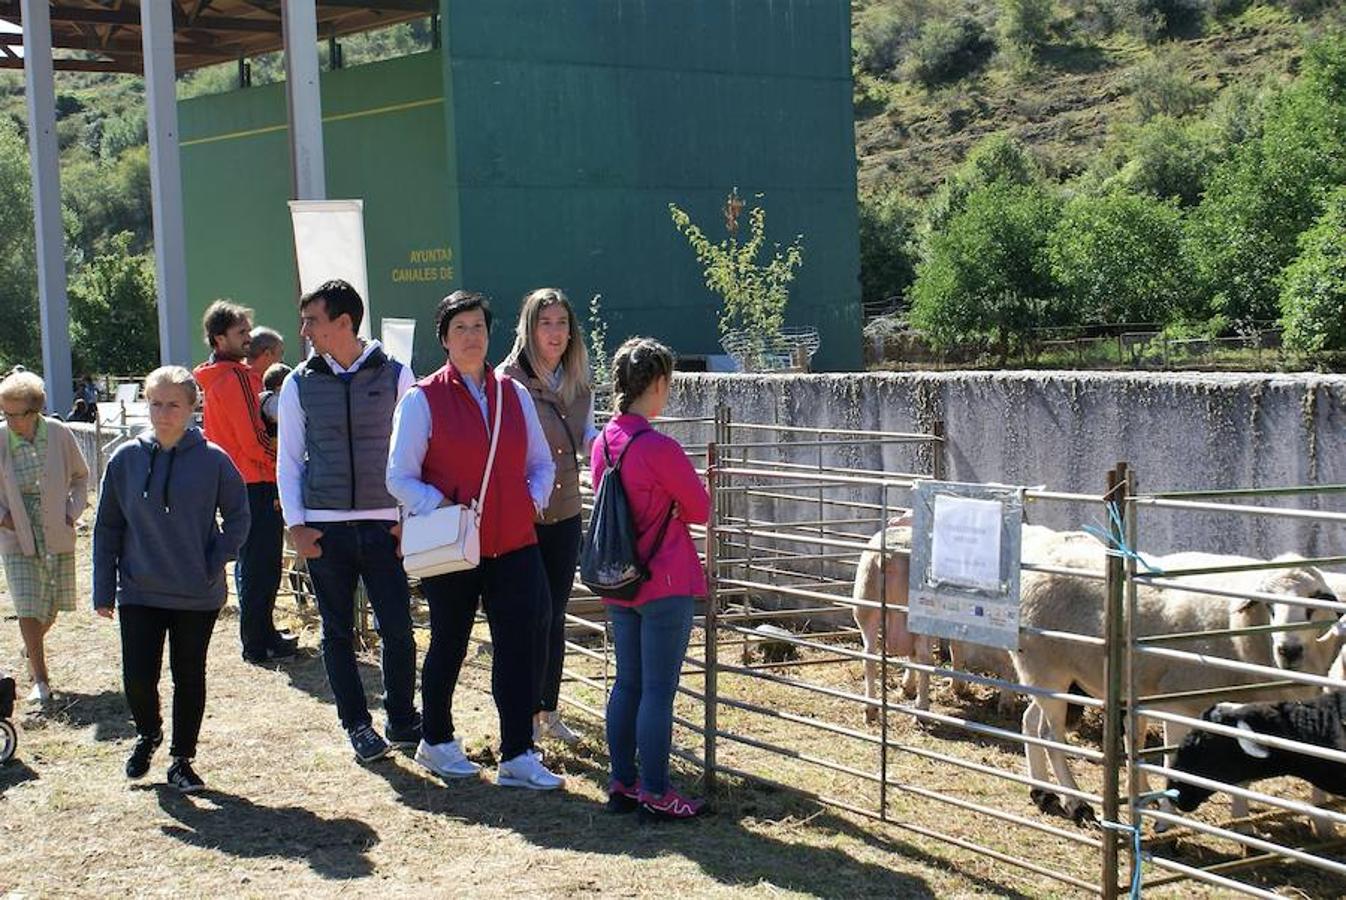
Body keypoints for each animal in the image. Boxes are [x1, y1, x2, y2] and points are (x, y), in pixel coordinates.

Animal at [1012, 532, 1340, 823]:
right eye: (1269, 605)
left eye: (1313, 604)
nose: (1289, 650)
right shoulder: (1181, 705)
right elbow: (1172, 762)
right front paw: (1168, 820)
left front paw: (1242, 823)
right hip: (1047, 669)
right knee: (1050, 735)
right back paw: (1076, 802)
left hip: (1053, 676)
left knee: (1030, 722)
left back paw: (1043, 792)